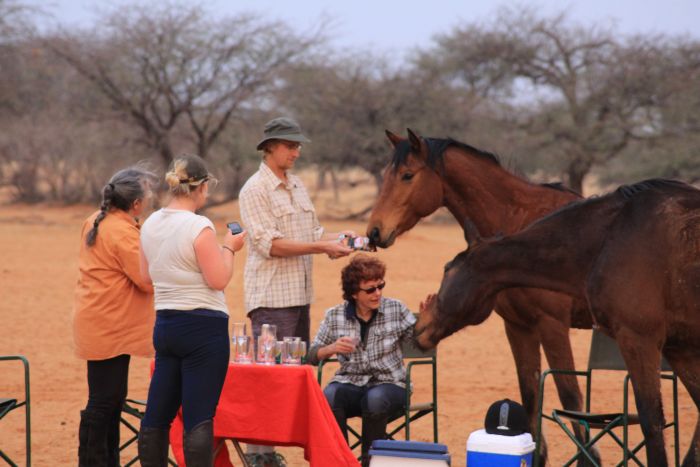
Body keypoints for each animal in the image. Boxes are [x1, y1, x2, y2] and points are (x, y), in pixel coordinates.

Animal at [370, 129, 592, 464]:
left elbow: (571, 399)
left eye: (408, 175)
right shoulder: (519, 327)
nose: (374, 231)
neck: (521, 223)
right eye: (385, 175)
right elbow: (530, 397)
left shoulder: (552, 325)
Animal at [418, 177, 700, 466]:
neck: (608, 238)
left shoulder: (637, 340)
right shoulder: (680, 349)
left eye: (447, 269)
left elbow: (651, 424)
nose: (420, 326)